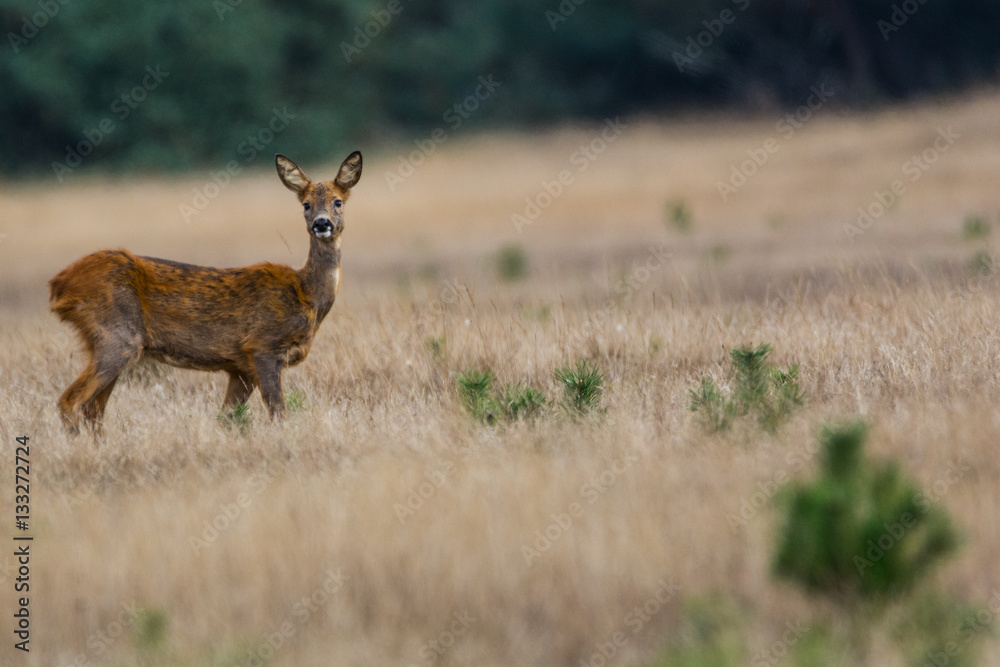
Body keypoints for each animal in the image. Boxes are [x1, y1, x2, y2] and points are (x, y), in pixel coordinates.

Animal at [49, 151, 364, 434]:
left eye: (338, 202)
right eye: (306, 205)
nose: (322, 223)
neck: (306, 295)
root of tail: (58, 284)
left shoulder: (240, 366)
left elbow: (227, 418)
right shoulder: (262, 346)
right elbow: (278, 413)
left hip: (107, 343)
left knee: (93, 410)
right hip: (118, 336)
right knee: (70, 401)